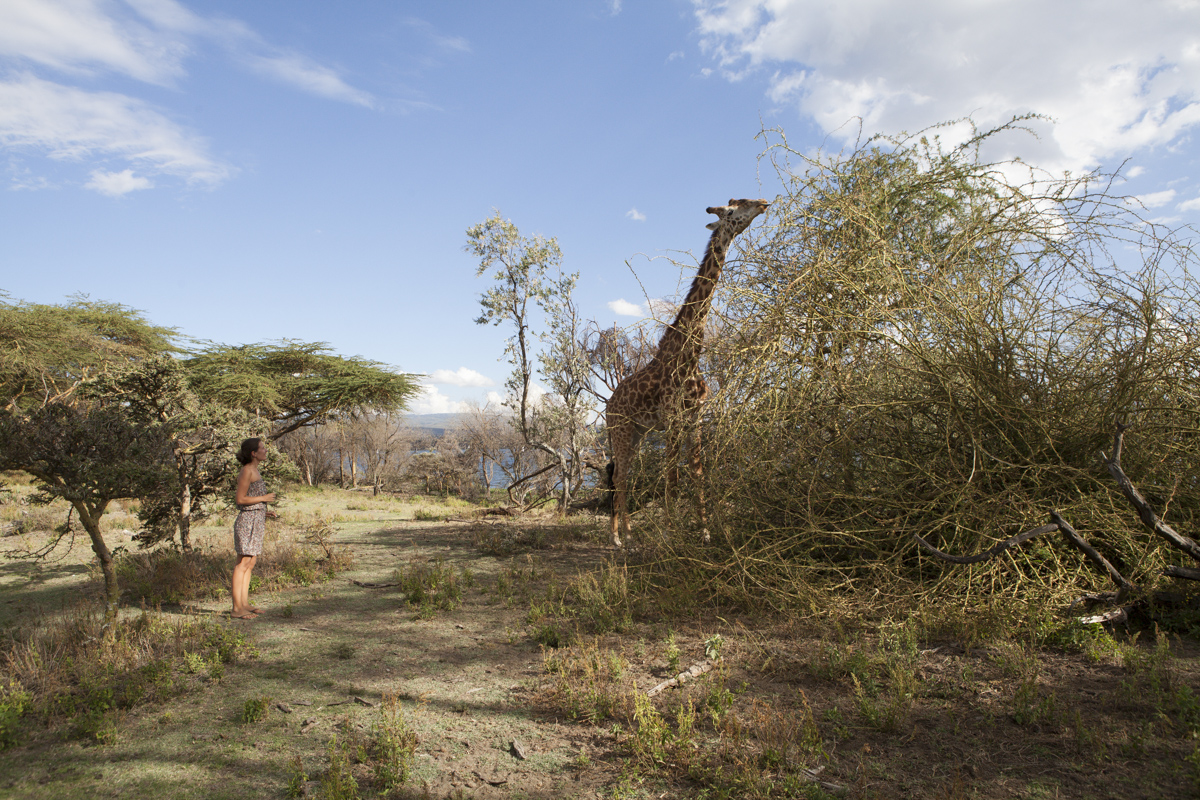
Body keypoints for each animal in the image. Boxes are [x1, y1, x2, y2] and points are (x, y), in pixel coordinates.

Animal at [604, 199, 772, 546]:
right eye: (732, 209)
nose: (763, 204)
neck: (690, 354)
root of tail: (607, 405)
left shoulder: (695, 418)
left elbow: (697, 474)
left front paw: (705, 532)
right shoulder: (672, 419)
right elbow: (672, 477)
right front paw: (670, 534)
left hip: (637, 433)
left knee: (624, 475)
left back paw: (628, 532)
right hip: (620, 431)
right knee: (620, 476)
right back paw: (617, 537)